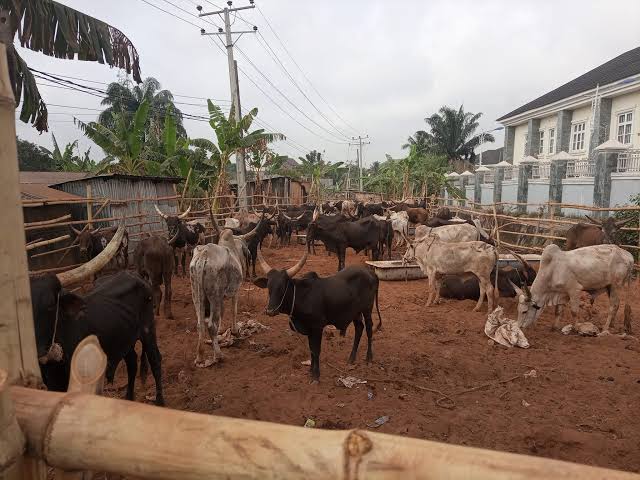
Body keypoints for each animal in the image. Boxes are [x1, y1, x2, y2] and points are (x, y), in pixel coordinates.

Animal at [31, 225, 164, 405]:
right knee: (132, 363)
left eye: (51, 305)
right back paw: (129, 398)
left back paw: (160, 401)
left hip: (148, 330)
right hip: (125, 337)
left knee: (155, 360)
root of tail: (136, 276)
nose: (37, 351)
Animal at [253, 249, 382, 381]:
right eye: (269, 287)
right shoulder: (309, 329)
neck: (302, 296)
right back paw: (351, 358)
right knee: (359, 328)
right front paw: (311, 370)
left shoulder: (317, 327)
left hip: (367, 309)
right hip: (355, 312)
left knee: (369, 328)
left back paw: (369, 358)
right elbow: (311, 350)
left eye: (283, 287)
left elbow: (316, 350)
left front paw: (316, 375)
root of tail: (371, 273)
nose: (270, 311)